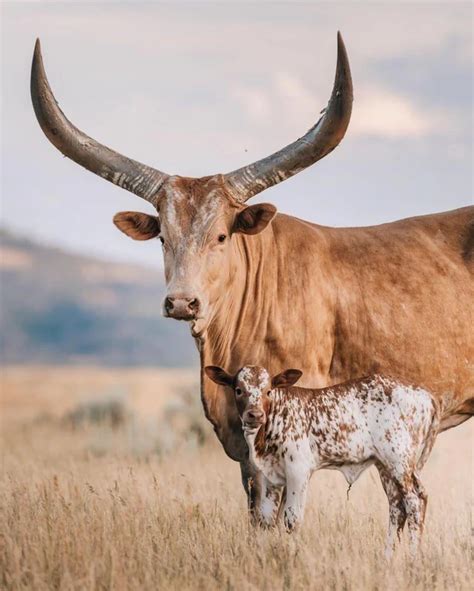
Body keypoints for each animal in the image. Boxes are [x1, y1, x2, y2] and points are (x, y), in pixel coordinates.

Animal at [205, 366, 440, 556]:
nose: (254, 415)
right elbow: (266, 520)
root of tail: (426, 395)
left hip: (399, 461)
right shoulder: (272, 477)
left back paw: (412, 559)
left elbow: (291, 520)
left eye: (268, 391)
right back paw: (388, 558)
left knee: (414, 501)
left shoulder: (298, 472)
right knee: (397, 506)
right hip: (386, 466)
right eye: (238, 390)